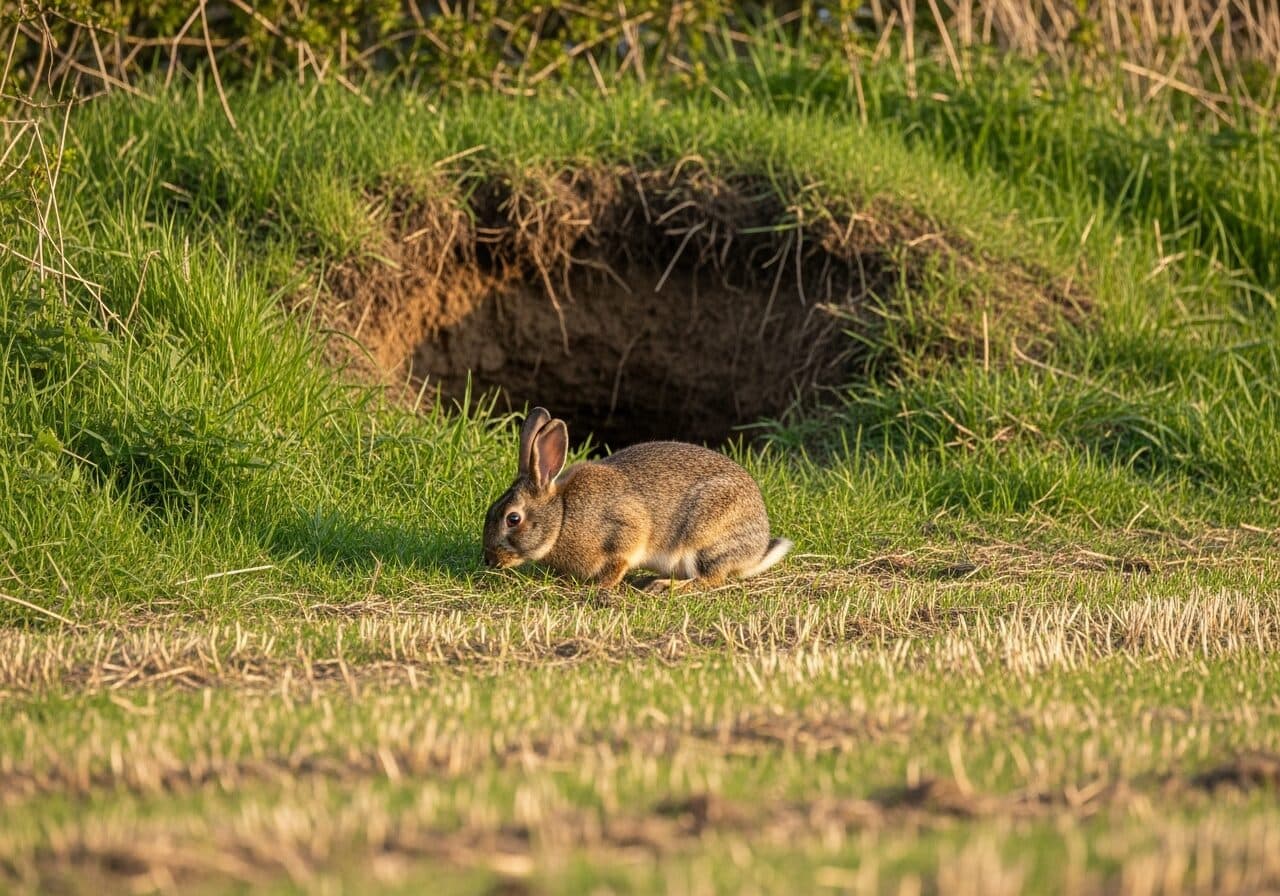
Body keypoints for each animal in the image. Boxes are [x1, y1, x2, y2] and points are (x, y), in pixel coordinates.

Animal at [483, 407, 792, 590]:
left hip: (706, 538)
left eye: (513, 519)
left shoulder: (624, 531)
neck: (562, 516)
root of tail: (756, 549)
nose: (489, 560)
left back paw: (663, 585)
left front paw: (601, 587)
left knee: (709, 578)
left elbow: (620, 559)